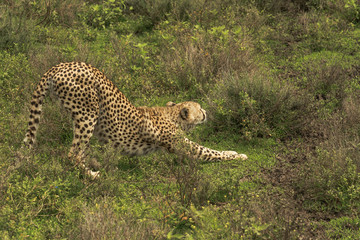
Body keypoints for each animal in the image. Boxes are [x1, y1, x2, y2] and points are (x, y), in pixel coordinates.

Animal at [22, 62, 248, 178]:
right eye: (199, 108)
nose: (206, 112)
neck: (172, 115)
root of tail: (60, 65)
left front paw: (233, 152)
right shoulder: (183, 146)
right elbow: (209, 152)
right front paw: (238, 155)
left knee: (79, 150)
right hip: (88, 113)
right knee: (72, 154)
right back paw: (92, 174)